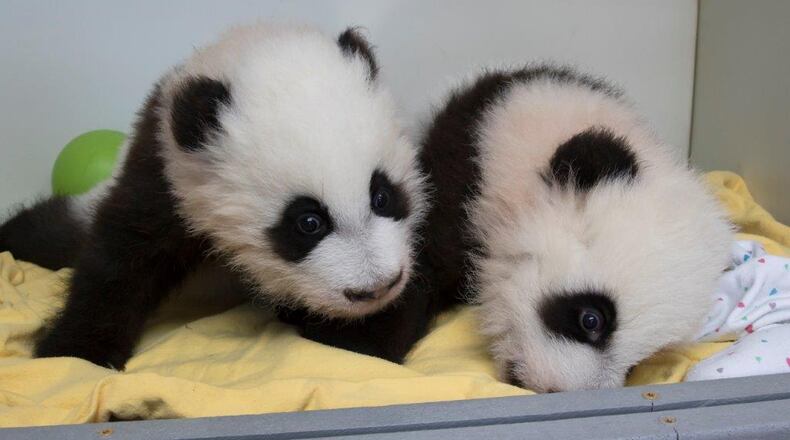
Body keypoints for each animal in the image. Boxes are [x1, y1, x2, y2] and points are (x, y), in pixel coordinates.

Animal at [0, 23, 428, 369]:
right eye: (308, 222)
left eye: (382, 196)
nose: (376, 287)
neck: (248, 47)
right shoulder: (165, 173)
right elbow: (122, 255)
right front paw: (73, 352)